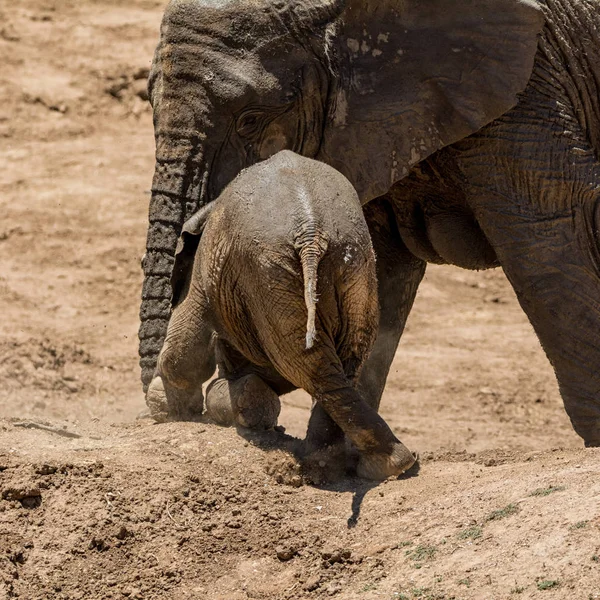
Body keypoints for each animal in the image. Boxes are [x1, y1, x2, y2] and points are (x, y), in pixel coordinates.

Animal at [148, 152, 414, 480]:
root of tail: (312, 235)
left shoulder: (205, 266)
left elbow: (185, 355)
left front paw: (168, 408)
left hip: (271, 274)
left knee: (303, 362)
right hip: (353, 267)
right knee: (343, 362)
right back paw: (365, 463)